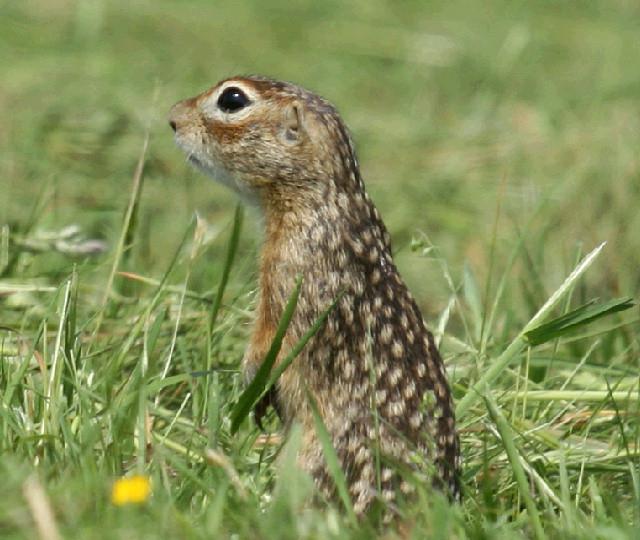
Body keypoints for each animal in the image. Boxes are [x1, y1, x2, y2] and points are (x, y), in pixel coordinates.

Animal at [170, 75, 460, 516]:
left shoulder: (291, 274)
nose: (172, 118)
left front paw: (251, 382)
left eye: (232, 99)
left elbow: (272, 338)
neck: (324, 199)